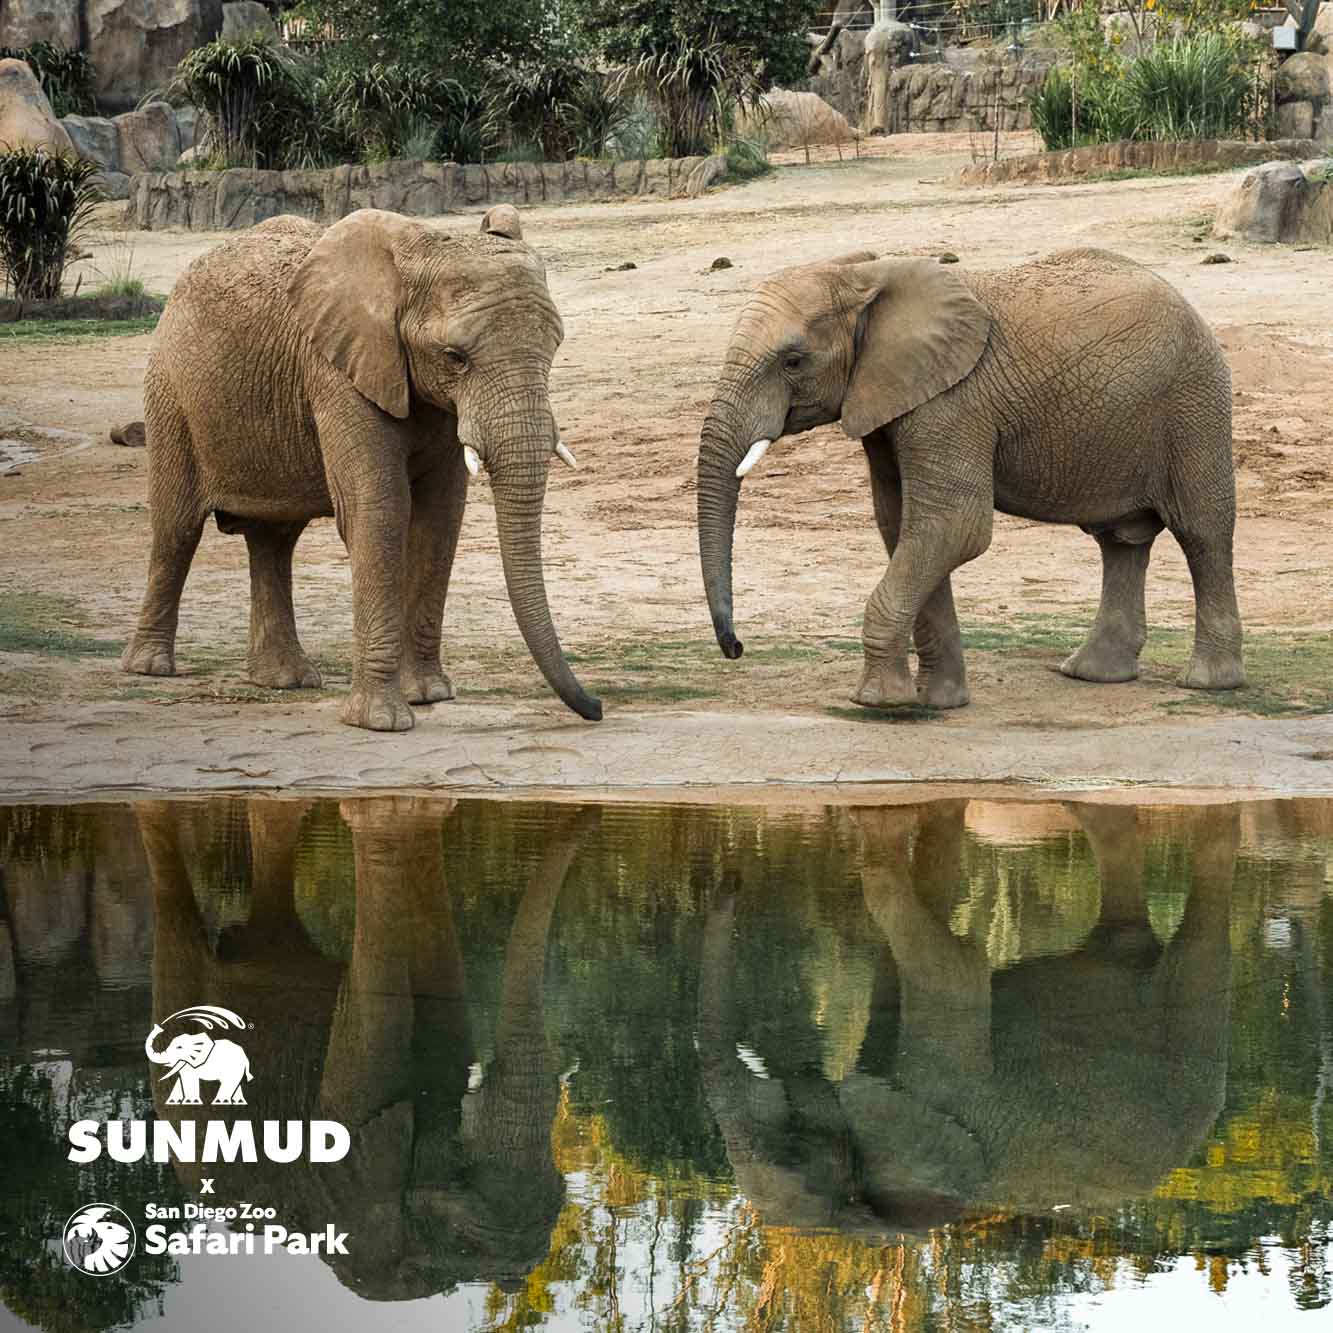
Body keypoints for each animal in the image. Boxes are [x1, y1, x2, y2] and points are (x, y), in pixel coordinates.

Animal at [120, 204, 601, 731]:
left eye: (555, 348)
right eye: (455, 357)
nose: (596, 707)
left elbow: (439, 519)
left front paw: (428, 695)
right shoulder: (337, 370)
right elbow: (379, 512)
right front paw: (382, 721)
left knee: (274, 539)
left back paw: (284, 680)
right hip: (170, 392)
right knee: (176, 529)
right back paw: (150, 668)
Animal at [697, 248, 1245, 712]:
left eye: (793, 361)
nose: (736, 647)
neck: (867, 276)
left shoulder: (953, 404)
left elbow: (952, 527)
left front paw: (878, 703)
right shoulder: (894, 402)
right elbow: (904, 529)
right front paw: (938, 702)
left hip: (1194, 404)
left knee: (1202, 534)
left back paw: (1209, 683)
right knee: (1120, 540)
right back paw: (1092, 674)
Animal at [698, 798, 1238, 1234]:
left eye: (791, 1150)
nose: (734, 872)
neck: (871, 1225)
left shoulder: (939, 1093)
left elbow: (956, 970)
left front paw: (878, 822)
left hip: (1189, 1044)